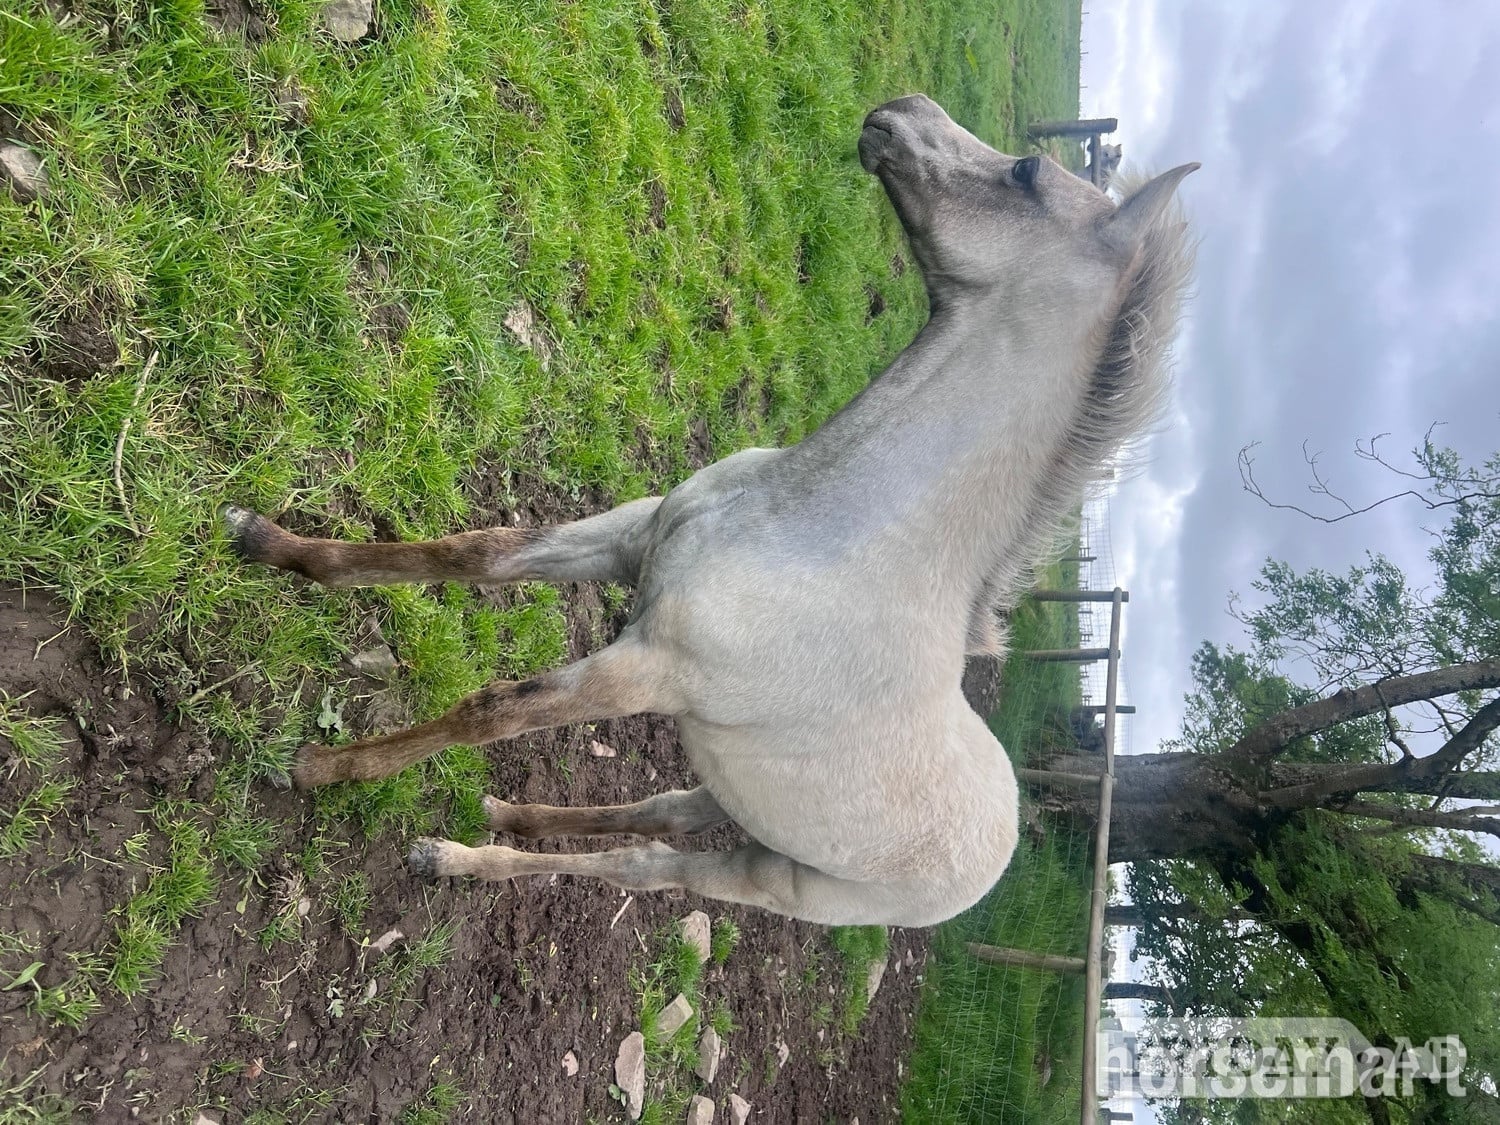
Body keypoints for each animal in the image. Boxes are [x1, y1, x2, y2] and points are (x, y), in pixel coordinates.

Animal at [222, 94, 1196, 926]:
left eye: (1027, 172)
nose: (900, 110)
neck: (814, 529)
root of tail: (1000, 844)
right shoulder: (632, 535)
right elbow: (477, 552)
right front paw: (265, 541)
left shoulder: (647, 668)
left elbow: (492, 707)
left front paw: (324, 768)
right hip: (731, 795)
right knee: (657, 812)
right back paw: (505, 814)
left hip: (774, 875)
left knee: (648, 867)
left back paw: (454, 858)